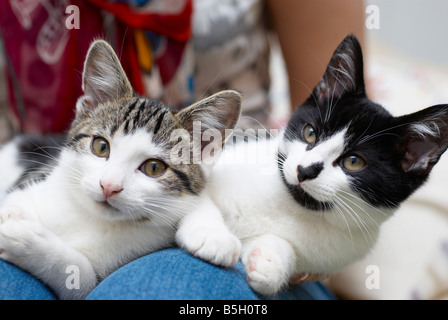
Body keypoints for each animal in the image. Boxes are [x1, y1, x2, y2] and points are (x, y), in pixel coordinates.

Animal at [0, 40, 242, 300]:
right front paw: (11, 217)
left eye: (154, 167)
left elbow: (80, 274)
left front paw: (18, 234)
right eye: (101, 146)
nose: (109, 186)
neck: (92, 218)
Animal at [177, 34, 448, 296]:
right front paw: (212, 237)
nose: (305, 170)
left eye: (353, 162)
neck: (297, 209)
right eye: (310, 133)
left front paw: (270, 261)